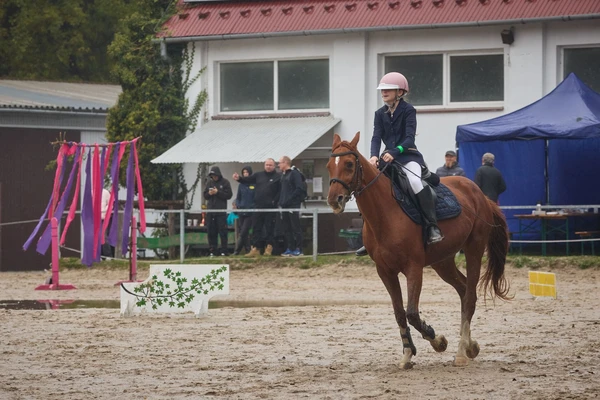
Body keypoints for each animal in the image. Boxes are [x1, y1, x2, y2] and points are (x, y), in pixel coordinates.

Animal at [326, 134, 508, 368]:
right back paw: (471, 345)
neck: (385, 212)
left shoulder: (414, 268)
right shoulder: (385, 271)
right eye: (329, 165)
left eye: (349, 164)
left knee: (469, 296)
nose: (335, 200)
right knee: (464, 289)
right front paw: (407, 354)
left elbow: (412, 313)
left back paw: (461, 351)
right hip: (443, 261)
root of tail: (479, 193)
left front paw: (438, 341)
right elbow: (399, 313)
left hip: (473, 249)